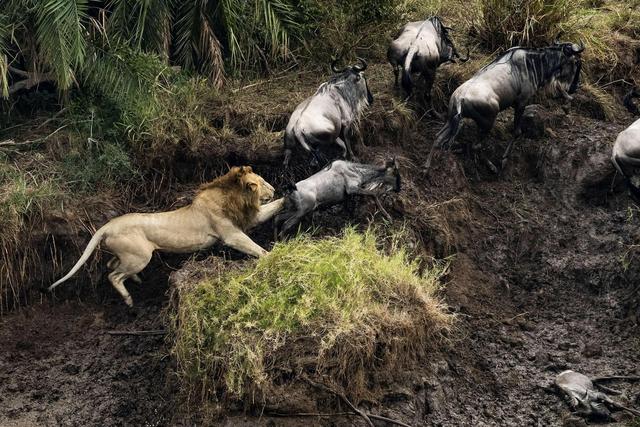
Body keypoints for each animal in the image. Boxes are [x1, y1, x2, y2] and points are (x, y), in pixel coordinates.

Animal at [47, 166, 282, 306]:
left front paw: (287, 197)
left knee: (111, 264)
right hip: (139, 257)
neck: (234, 199)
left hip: (127, 255)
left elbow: (274, 208)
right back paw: (129, 299)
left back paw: (136, 280)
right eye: (261, 182)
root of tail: (106, 226)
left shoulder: (251, 219)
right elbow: (257, 248)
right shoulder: (231, 233)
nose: (274, 188)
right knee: (113, 275)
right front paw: (271, 257)